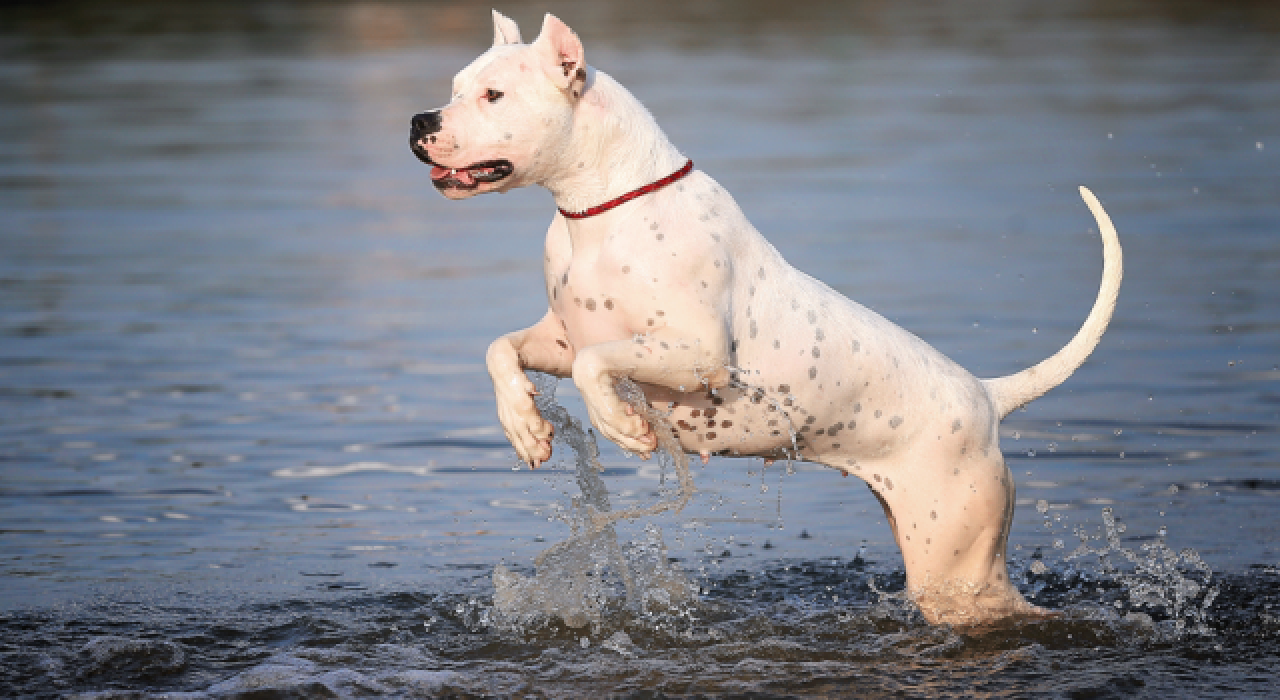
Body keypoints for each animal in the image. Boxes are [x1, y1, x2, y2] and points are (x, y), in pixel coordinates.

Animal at [409, 10, 1121, 624]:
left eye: (495, 95)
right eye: (456, 87)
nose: (419, 119)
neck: (602, 209)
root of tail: (986, 397)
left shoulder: (696, 354)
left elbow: (594, 365)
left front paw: (620, 426)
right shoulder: (558, 336)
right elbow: (502, 349)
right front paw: (525, 426)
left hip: (958, 567)